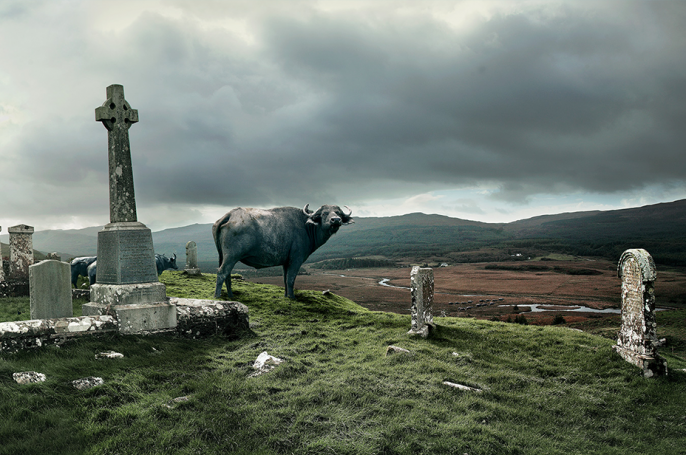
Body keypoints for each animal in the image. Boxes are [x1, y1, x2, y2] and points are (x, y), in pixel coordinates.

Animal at [214, 206, 354, 300]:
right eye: (325, 213)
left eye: (338, 213)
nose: (336, 220)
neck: (306, 226)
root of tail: (230, 215)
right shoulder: (296, 260)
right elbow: (291, 279)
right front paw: (292, 297)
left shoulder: (286, 262)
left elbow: (285, 279)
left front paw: (286, 296)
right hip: (231, 256)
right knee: (222, 272)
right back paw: (217, 296)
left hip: (222, 256)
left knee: (227, 274)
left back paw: (231, 296)